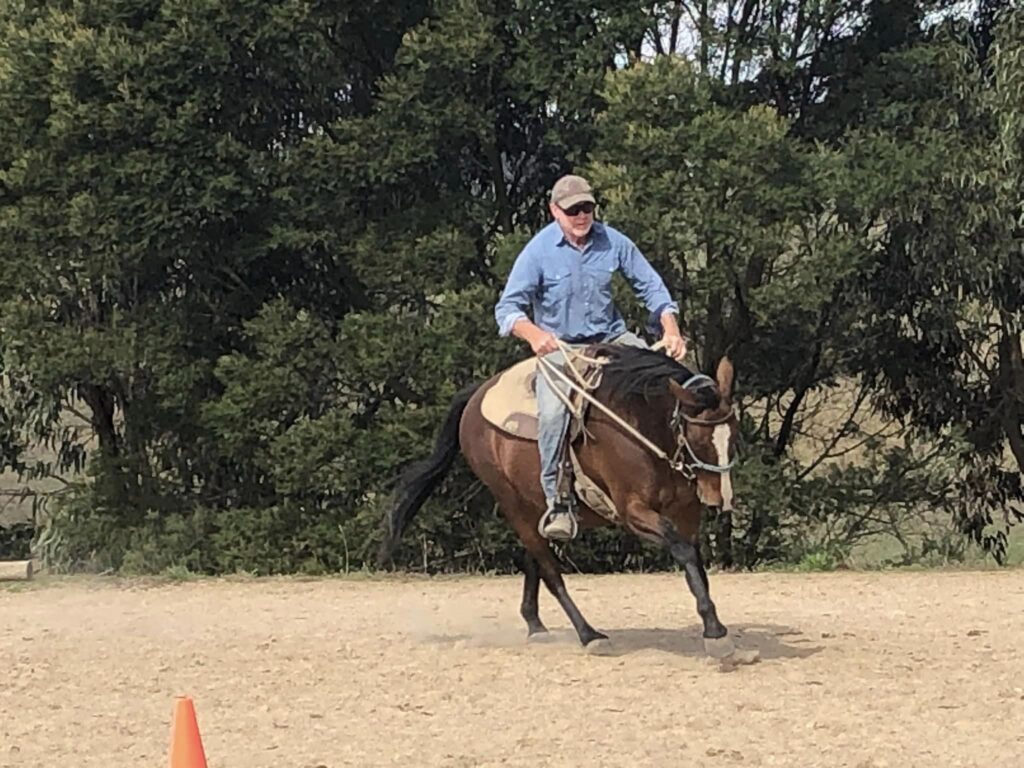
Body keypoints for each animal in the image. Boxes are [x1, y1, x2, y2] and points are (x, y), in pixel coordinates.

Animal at [376, 346, 737, 659]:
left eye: (732, 433)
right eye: (698, 438)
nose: (719, 497)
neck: (640, 426)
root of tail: (479, 394)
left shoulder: (686, 514)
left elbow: (695, 564)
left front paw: (714, 627)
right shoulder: (634, 512)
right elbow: (684, 553)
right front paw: (715, 632)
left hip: (536, 507)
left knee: (534, 559)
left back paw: (535, 625)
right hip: (512, 504)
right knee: (549, 571)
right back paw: (589, 635)